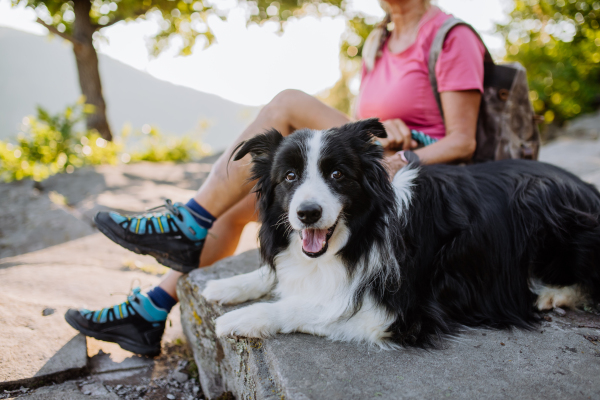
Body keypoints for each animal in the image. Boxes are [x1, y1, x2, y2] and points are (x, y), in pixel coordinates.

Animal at [202, 118, 600, 346]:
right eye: (289, 176)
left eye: (337, 174)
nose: (307, 213)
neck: (360, 232)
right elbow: (279, 273)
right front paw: (226, 286)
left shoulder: (398, 312)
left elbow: (312, 306)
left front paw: (244, 318)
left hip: (542, 202)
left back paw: (552, 294)